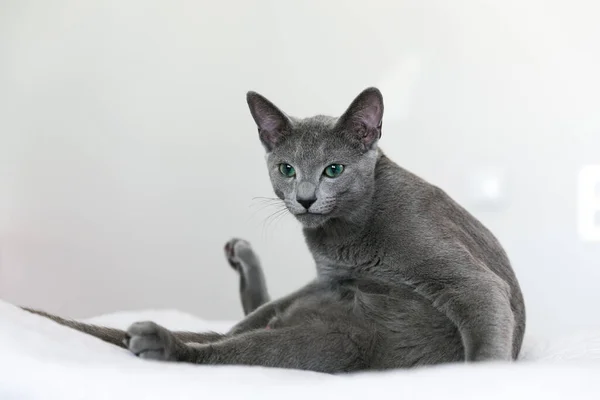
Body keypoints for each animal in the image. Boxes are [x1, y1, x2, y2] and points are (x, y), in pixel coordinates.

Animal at [19, 87, 524, 372]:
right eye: (286, 168)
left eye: (333, 169)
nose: (305, 197)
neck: (344, 236)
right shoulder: (327, 276)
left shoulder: (462, 275)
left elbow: (484, 330)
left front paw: (481, 376)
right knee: (239, 329)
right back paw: (236, 265)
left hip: (345, 341)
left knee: (229, 352)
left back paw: (159, 341)